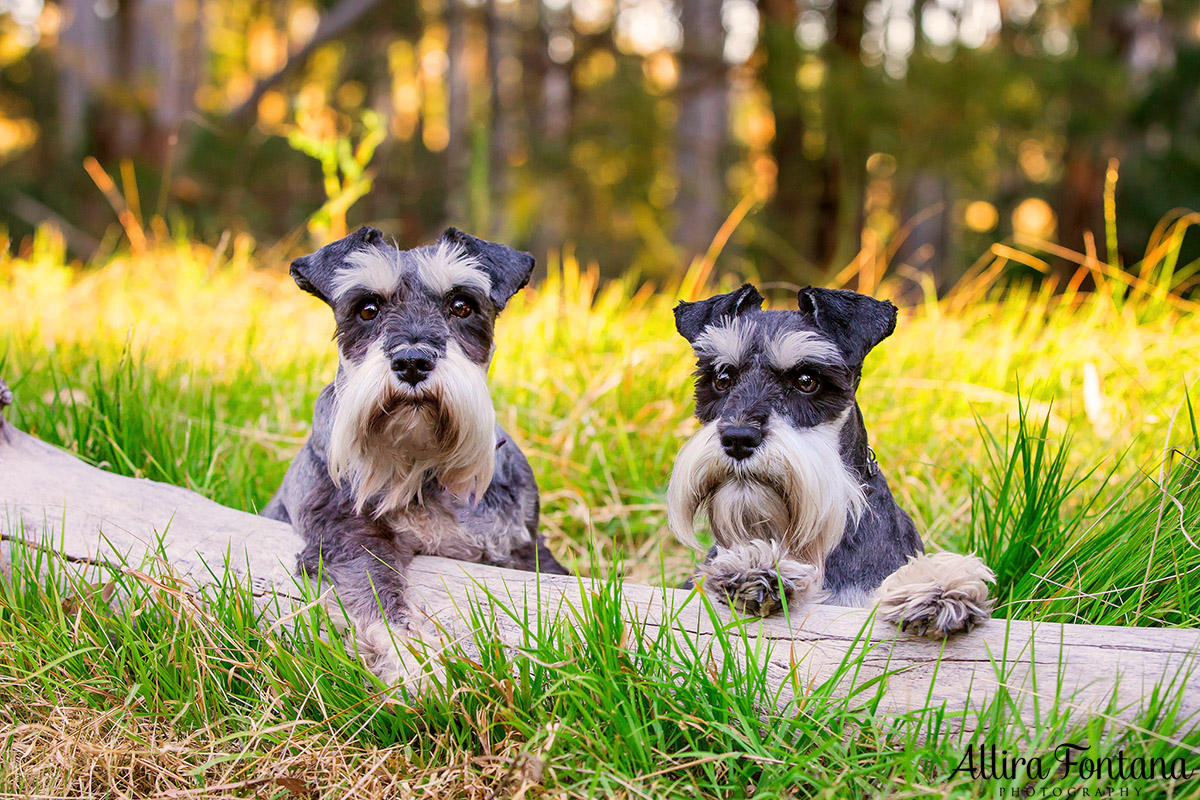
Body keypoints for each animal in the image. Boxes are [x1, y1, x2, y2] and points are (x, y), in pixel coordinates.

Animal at [265, 225, 564, 681]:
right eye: (367, 309)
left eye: (461, 305)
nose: (412, 361)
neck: (422, 464)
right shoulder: (347, 535)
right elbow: (379, 604)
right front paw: (416, 669)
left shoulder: (521, 547)